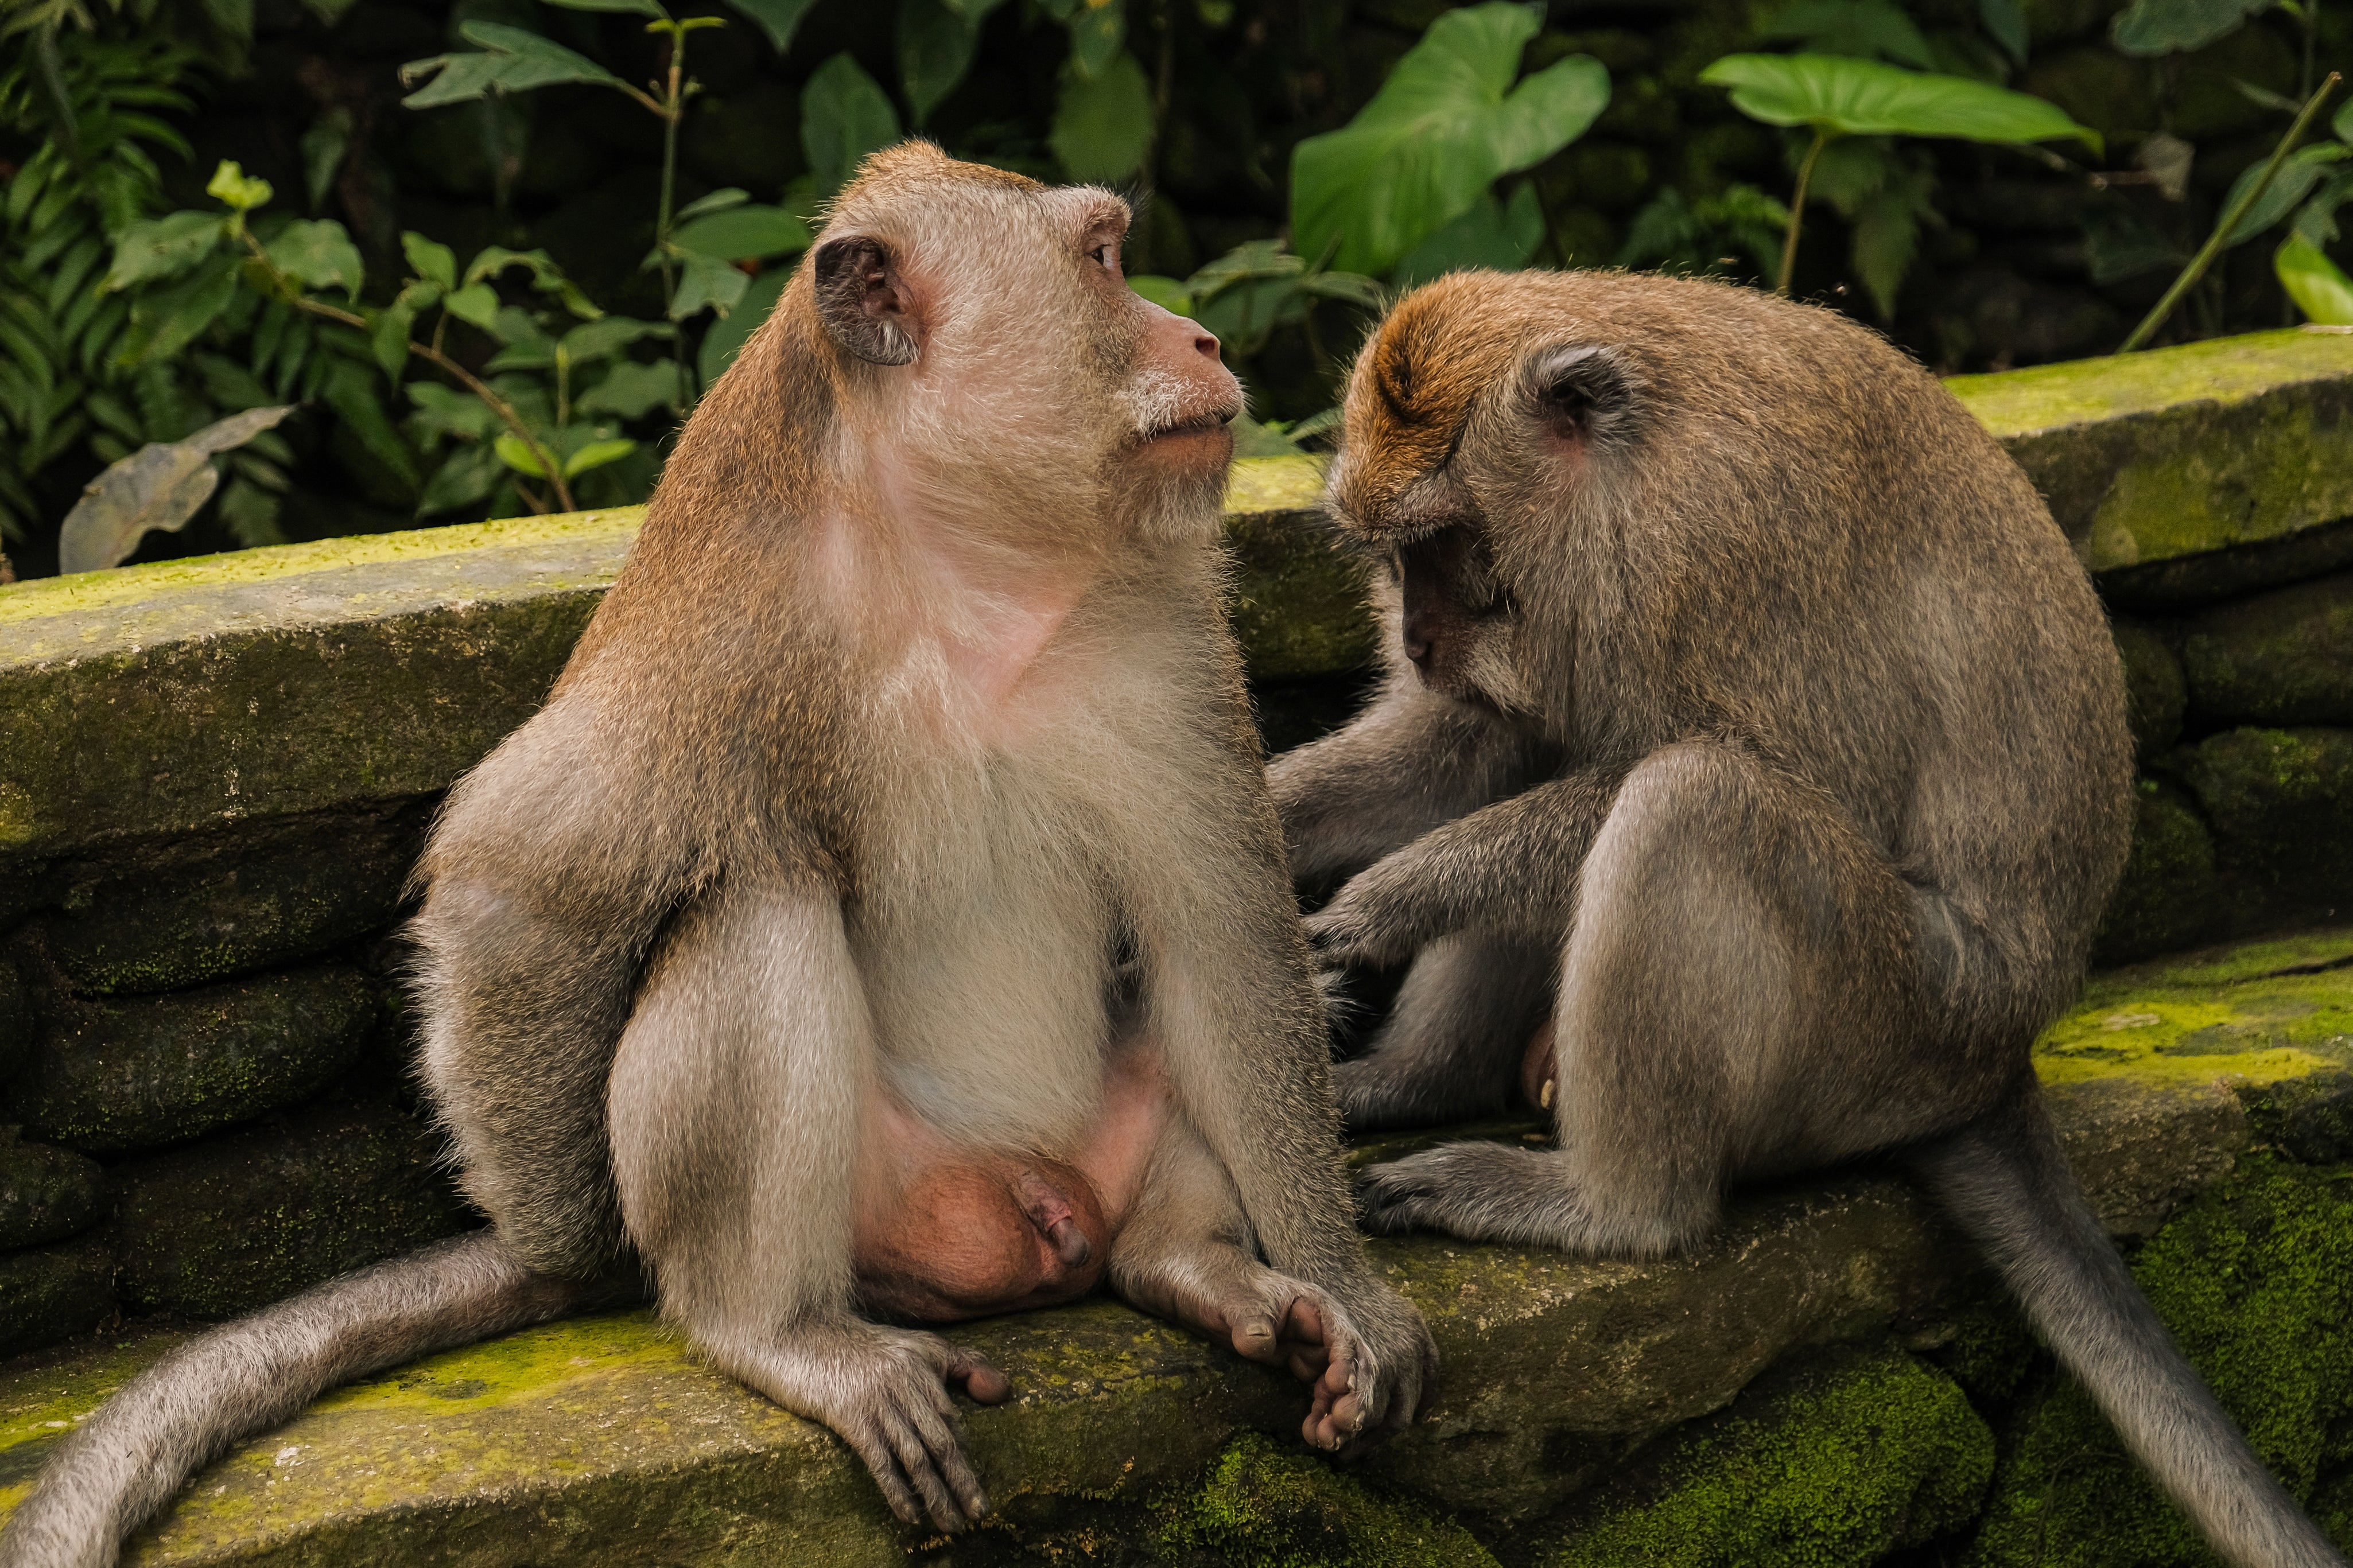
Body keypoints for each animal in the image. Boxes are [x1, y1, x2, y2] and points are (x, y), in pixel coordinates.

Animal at [0, 144, 1434, 1568]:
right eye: (1100, 261)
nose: (1200, 337)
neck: (961, 564)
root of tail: (1037, 1205)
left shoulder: (1163, 616)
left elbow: (1225, 927)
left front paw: (1345, 1285)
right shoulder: (721, 639)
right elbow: (517, 881)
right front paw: (563, 1248)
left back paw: (1192, 1264)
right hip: (873, 1205)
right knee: (759, 912)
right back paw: (781, 1333)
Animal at [1268, 269, 2347, 1568]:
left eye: (1445, 543)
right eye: (1391, 560)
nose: (1420, 639)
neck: (1621, 477)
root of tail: (1998, 1062)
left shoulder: (1708, 549)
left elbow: (1754, 771)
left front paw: (1377, 905)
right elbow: (1468, 743)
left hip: (1883, 1023)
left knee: (1691, 798)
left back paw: (1611, 1208)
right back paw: (1419, 1079)